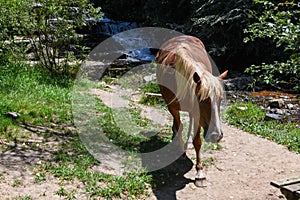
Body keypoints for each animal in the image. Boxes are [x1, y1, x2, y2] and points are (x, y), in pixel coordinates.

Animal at [155, 35, 227, 187]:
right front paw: (181, 150)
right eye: (202, 100)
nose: (216, 135)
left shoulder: (196, 112)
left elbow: (197, 141)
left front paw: (200, 172)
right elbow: (179, 126)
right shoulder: (172, 107)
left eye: (220, 99)